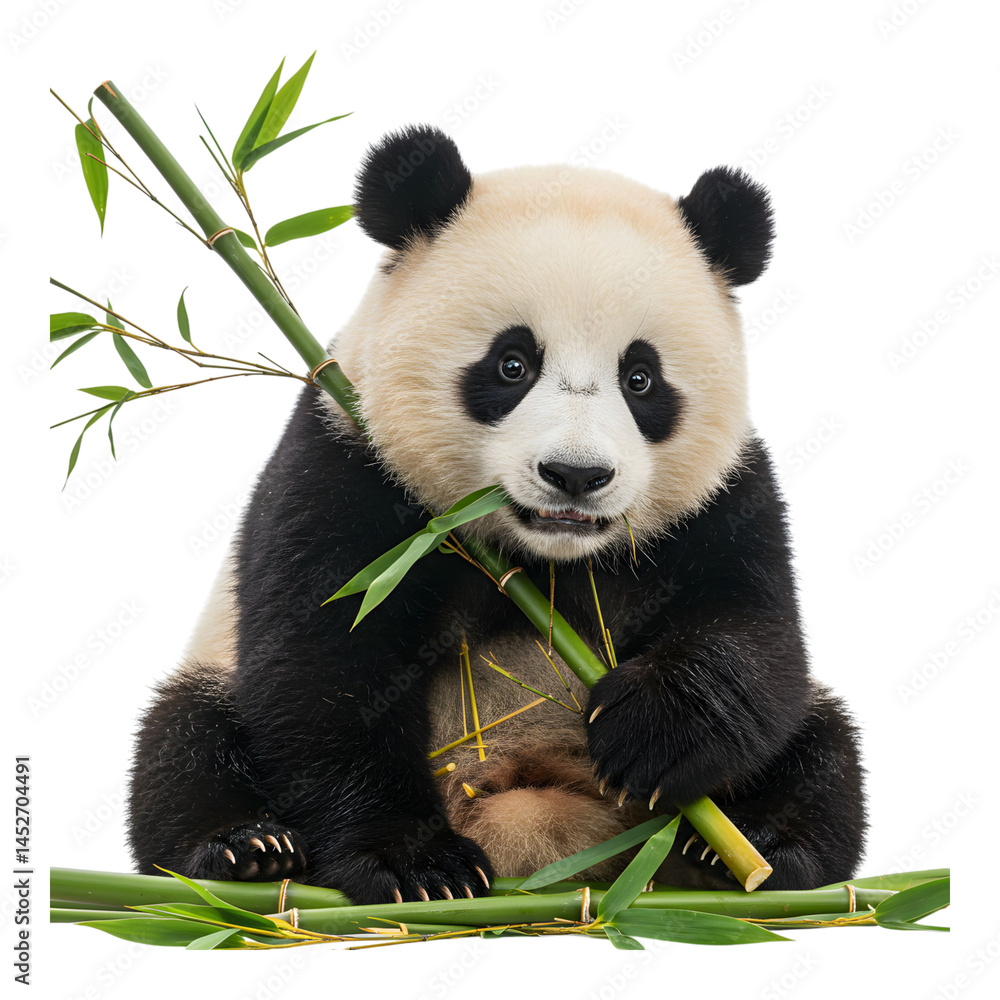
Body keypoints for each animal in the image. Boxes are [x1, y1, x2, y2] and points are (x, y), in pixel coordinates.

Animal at [127, 125, 867, 905]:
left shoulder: (725, 497)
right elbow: (324, 666)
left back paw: (747, 853)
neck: (540, 555)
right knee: (186, 737)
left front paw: (651, 733)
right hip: (214, 670)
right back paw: (250, 850)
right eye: (512, 364)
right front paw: (417, 865)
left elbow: (752, 632)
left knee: (821, 746)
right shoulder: (349, 464)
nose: (576, 475)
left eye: (641, 379)